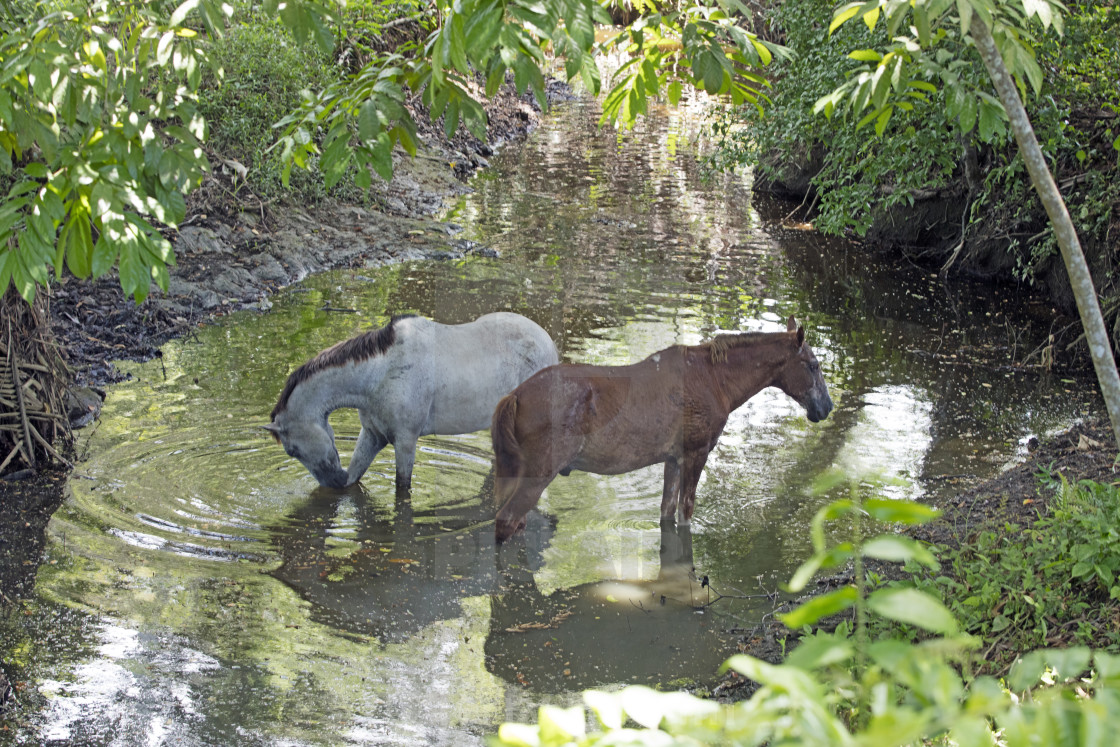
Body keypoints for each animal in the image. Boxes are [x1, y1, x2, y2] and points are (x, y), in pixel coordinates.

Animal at [263, 313, 560, 492]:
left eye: (292, 450)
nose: (333, 483)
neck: (379, 373)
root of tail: (548, 342)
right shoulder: (372, 435)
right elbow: (357, 473)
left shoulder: (405, 441)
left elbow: (402, 488)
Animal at [490, 318, 833, 544]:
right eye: (813, 365)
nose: (826, 406)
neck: (720, 383)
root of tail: (512, 397)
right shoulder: (696, 452)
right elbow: (686, 512)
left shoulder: (673, 459)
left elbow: (667, 512)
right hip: (540, 471)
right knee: (506, 521)